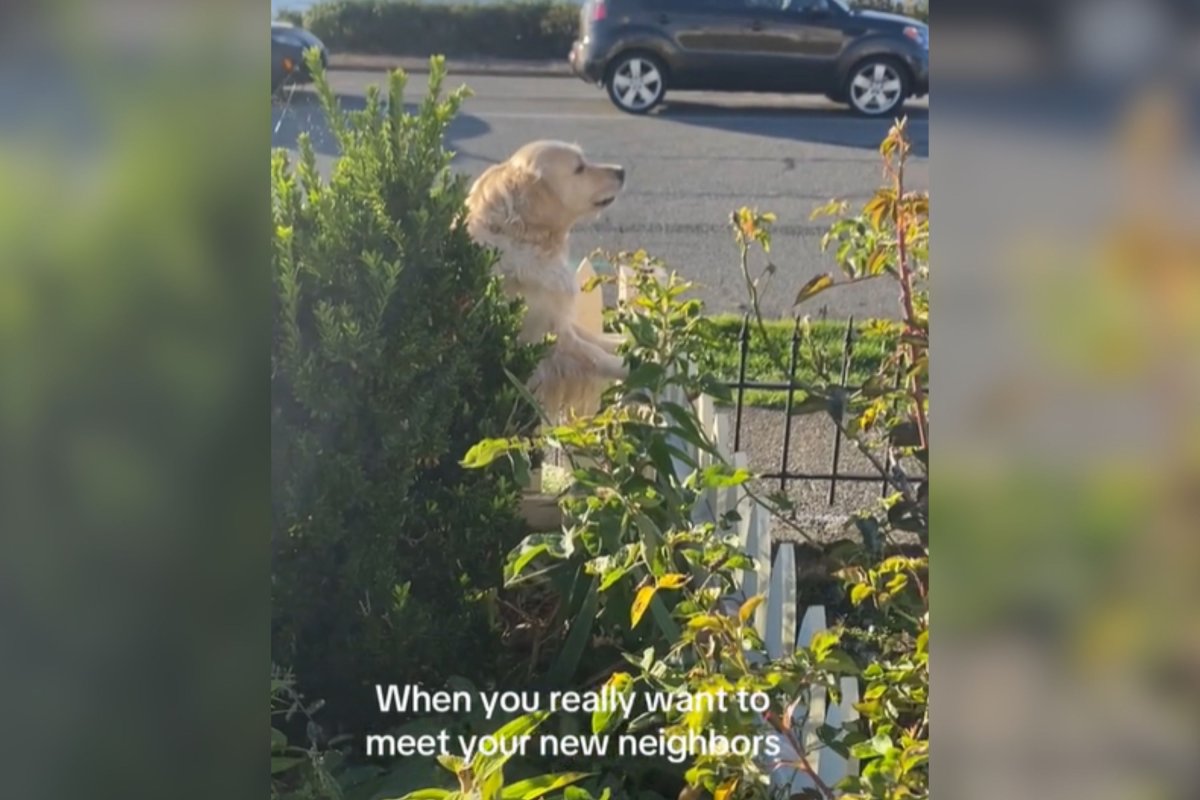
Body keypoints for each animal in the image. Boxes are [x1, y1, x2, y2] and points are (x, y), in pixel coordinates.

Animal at [463, 141, 628, 419]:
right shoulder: (546, 342)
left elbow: (598, 339)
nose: (621, 171)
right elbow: (595, 355)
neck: (524, 237)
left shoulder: (559, 320)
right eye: (579, 168)